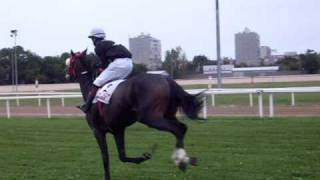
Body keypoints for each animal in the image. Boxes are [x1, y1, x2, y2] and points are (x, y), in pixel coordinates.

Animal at [65, 49, 202, 180]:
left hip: (150, 118)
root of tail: (167, 79)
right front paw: (143, 157)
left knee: (178, 129)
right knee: (182, 128)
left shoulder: (97, 131)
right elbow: (122, 156)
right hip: (167, 115)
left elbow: (105, 158)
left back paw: (181, 161)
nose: (66, 74)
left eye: (70, 61)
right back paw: (186, 159)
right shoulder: (118, 129)